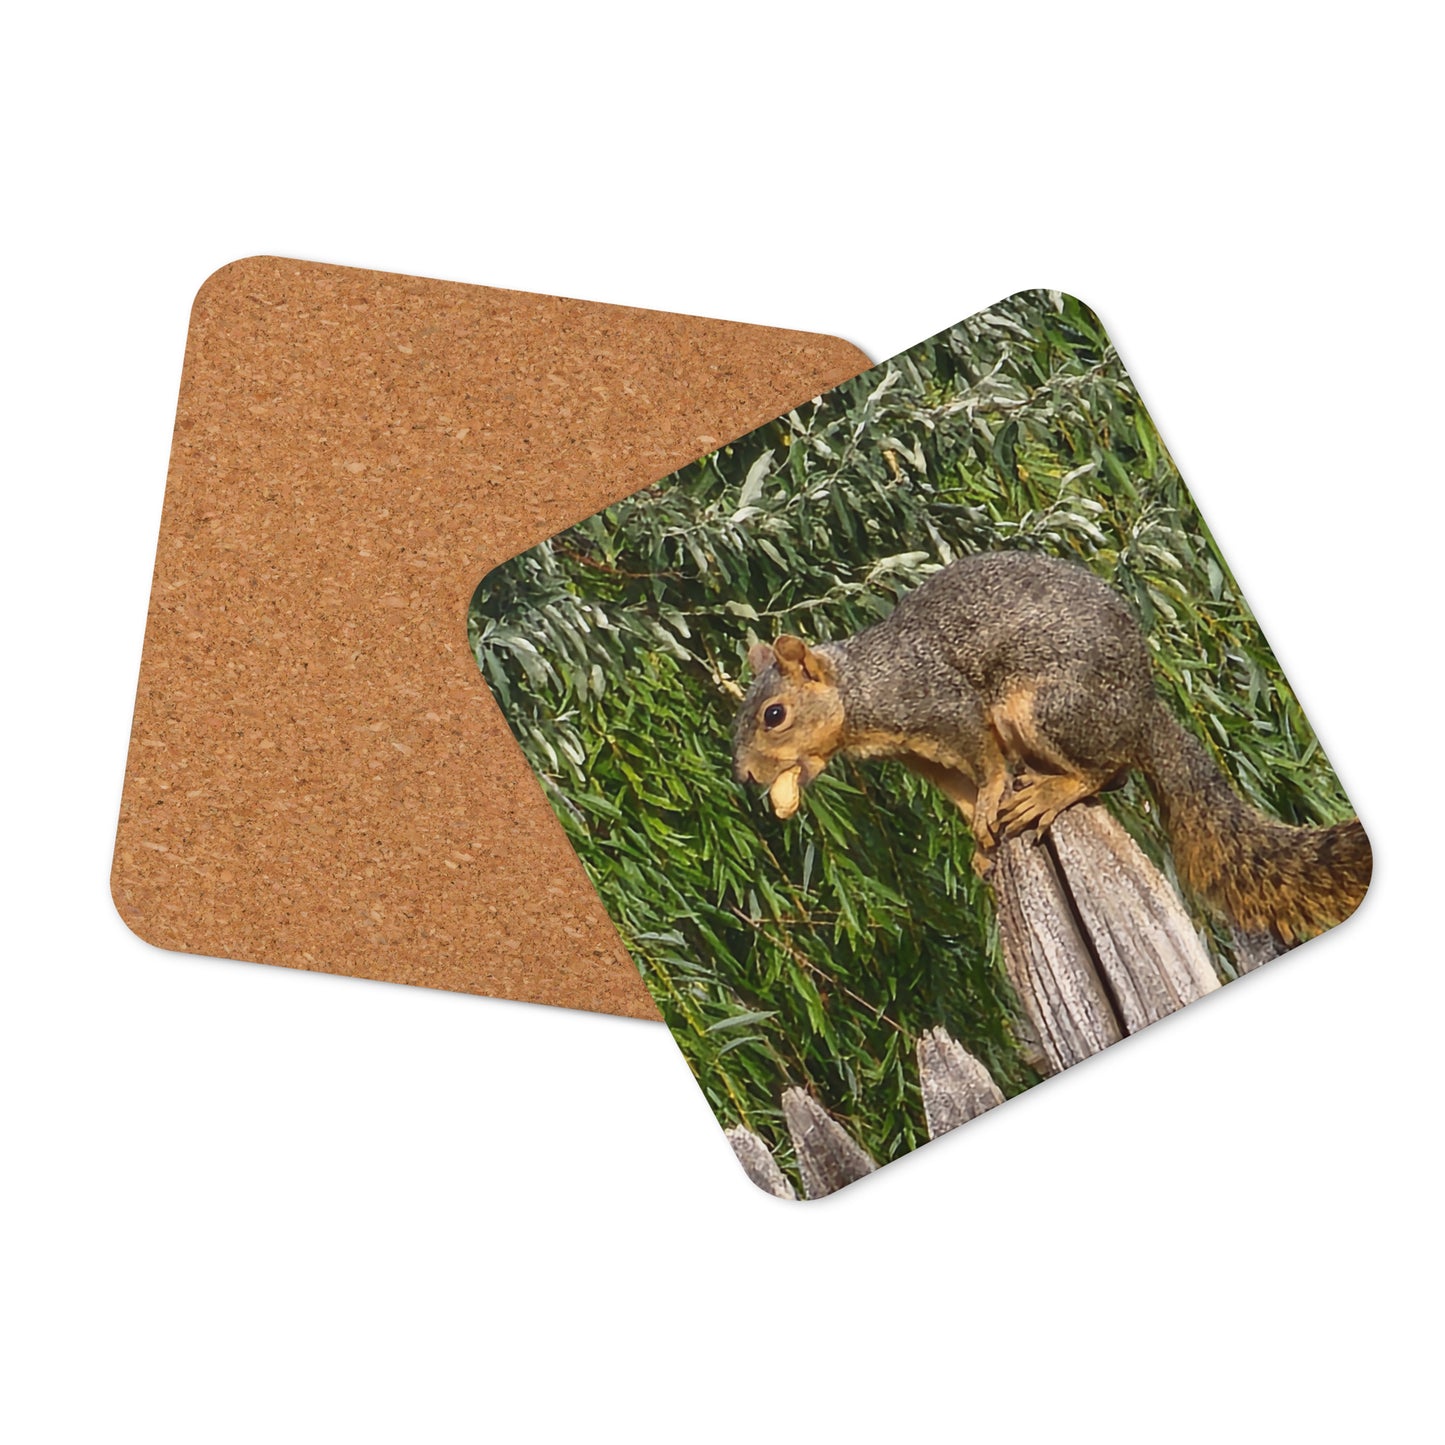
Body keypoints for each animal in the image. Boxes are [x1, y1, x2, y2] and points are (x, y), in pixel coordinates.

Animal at [731, 551, 1370, 943]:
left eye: (774, 715)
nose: (744, 776)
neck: (861, 687)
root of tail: (1142, 706)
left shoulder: (945, 706)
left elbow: (986, 765)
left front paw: (992, 801)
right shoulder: (919, 756)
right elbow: (961, 794)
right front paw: (979, 842)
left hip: (1048, 709)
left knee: (1107, 771)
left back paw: (1050, 793)